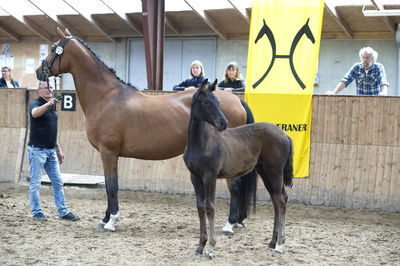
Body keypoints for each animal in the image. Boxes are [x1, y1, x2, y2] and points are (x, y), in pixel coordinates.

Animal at [35, 28, 256, 233]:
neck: (107, 97)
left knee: (234, 185)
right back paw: (237, 221)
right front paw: (105, 219)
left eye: (54, 49)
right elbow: (107, 185)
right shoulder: (109, 154)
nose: (39, 72)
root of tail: (237, 100)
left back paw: (229, 224)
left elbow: (112, 186)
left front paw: (112, 221)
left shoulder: (109, 152)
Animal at [184, 79, 294, 258]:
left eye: (218, 101)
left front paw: (210, 248)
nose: (224, 123)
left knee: (281, 200)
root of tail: (284, 135)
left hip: (275, 172)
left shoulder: (210, 177)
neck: (201, 143)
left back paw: (279, 245)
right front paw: (200, 246)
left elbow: (210, 207)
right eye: (206, 102)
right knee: (276, 200)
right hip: (265, 172)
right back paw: (272, 242)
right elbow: (200, 208)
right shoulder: (195, 177)